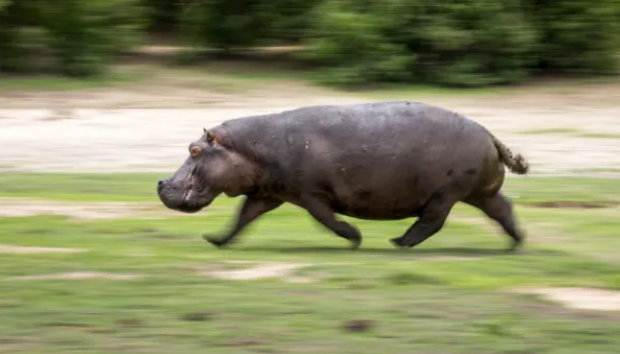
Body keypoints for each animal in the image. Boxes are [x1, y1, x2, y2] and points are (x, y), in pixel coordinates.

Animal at [156, 101, 528, 250]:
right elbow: (242, 218)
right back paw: (516, 242)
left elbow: (326, 219)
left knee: (432, 220)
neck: (253, 147)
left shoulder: (310, 194)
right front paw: (215, 240)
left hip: (448, 192)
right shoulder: (267, 193)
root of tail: (490, 133)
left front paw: (355, 237)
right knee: (502, 209)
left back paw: (398, 242)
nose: (161, 183)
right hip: (477, 191)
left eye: (194, 150)